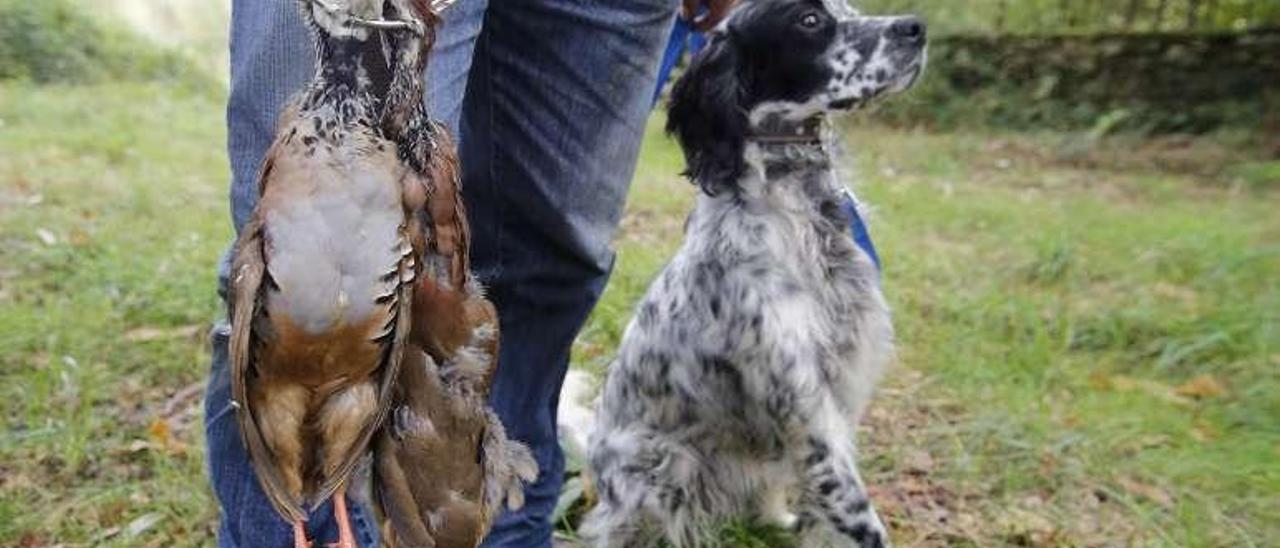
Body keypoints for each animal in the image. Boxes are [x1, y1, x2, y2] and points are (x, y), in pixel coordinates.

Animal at [586, 2, 926, 545]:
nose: (917, 27)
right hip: (660, 470)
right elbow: (856, 514)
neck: (797, 212)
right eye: (809, 21)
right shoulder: (807, 409)